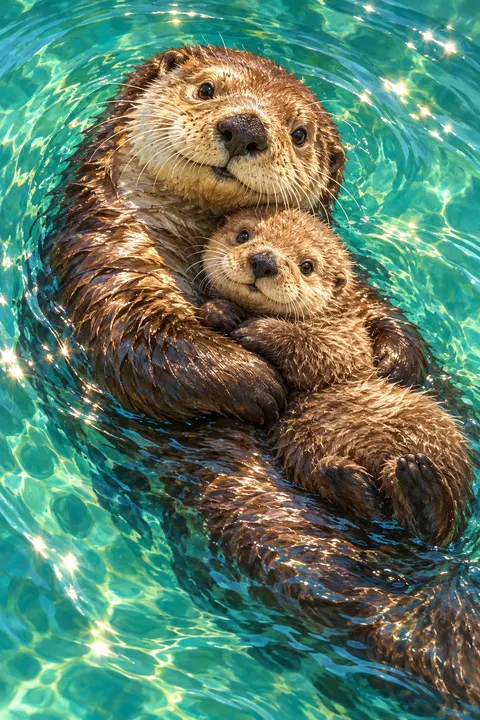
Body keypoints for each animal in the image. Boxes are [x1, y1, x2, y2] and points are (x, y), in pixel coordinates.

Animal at [200, 208, 473, 546]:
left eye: (307, 266)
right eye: (243, 235)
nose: (263, 261)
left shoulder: (348, 338)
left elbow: (320, 351)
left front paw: (260, 329)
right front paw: (222, 311)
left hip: (437, 436)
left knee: (441, 527)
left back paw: (421, 486)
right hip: (301, 451)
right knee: (372, 507)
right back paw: (348, 478)